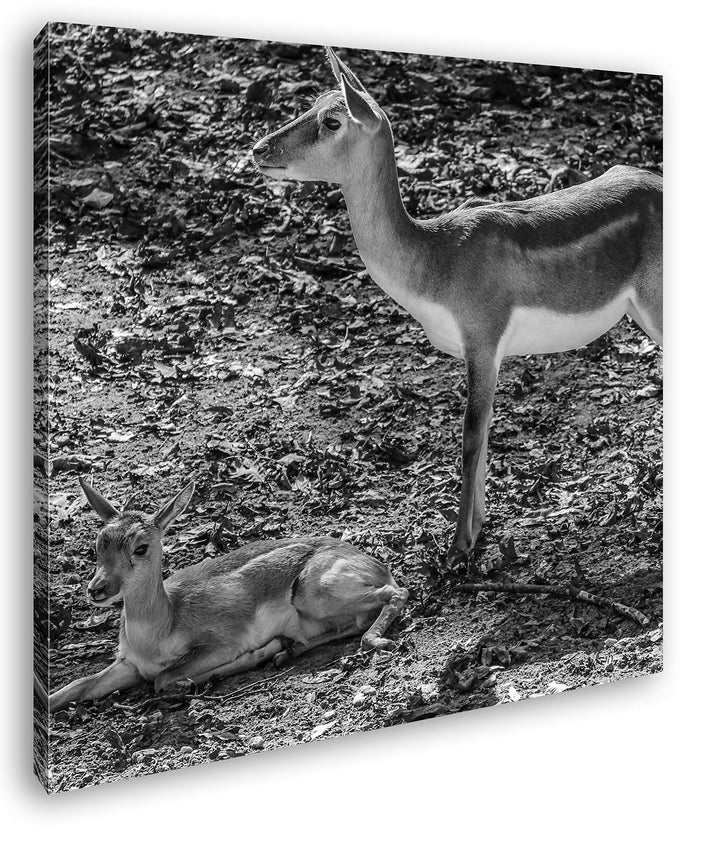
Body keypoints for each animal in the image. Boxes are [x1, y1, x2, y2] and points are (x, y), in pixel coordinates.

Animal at [48, 478, 408, 712]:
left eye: (141, 547)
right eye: (99, 543)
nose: (97, 589)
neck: (159, 630)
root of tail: (376, 564)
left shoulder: (221, 642)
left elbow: (163, 678)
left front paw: (229, 666)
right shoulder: (129, 664)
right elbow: (71, 688)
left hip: (313, 594)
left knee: (396, 594)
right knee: (348, 625)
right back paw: (286, 651)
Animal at [253, 47, 663, 560]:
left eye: (332, 120)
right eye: (310, 104)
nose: (258, 148)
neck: (436, 264)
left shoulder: (483, 335)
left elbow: (470, 434)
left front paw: (457, 548)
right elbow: (484, 432)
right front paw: (477, 529)